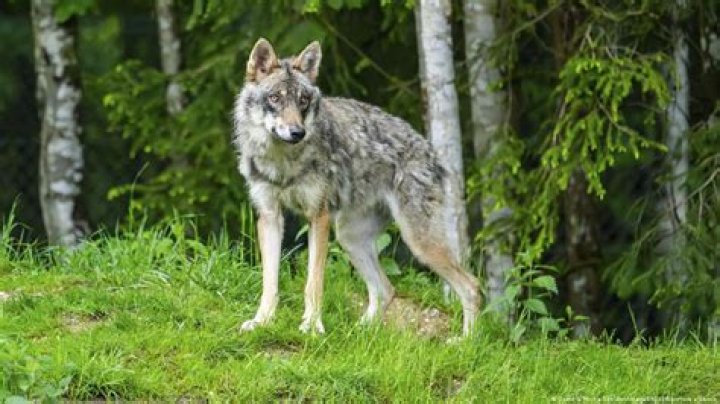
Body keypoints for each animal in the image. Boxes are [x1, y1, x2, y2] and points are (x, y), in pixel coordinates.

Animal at [232, 38, 480, 336]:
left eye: (303, 100)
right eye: (275, 98)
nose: (297, 132)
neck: (283, 161)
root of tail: (431, 150)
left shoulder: (319, 217)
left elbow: (313, 283)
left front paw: (312, 326)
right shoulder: (269, 216)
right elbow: (270, 283)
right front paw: (262, 321)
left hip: (419, 244)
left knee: (471, 287)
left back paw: (465, 342)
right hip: (349, 238)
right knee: (386, 290)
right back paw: (360, 332)